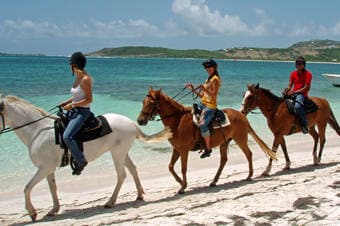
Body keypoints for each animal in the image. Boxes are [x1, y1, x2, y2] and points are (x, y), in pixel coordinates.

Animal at [0, 95, 171, 221]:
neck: (37, 131)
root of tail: (131, 123)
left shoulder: (44, 168)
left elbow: (27, 187)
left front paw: (32, 212)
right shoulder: (48, 169)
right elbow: (52, 188)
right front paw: (54, 209)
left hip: (117, 154)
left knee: (121, 174)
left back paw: (110, 202)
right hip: (122, 153)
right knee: (133, 169)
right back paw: (139, 195)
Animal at [136, 87, 276, 193]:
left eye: (150, 103)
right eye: (142, 102)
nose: (140, 120)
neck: (178, 121)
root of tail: (242, 115)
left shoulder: (184, 151)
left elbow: (183, 168)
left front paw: (183, 187)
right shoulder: (177, 149)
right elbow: (170, 167)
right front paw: (180, 182)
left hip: (240, 139)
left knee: (248, 154)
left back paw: (249, 175)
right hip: (225, 143)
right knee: (223, 160)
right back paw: (214, 181)